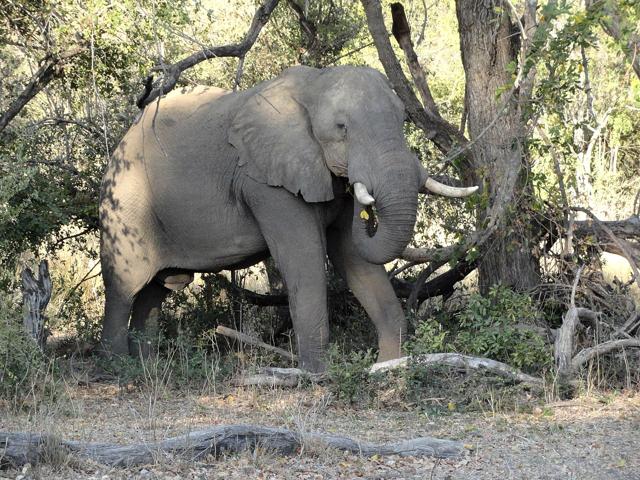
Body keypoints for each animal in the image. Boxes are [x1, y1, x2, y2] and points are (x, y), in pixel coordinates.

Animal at [100, 64, 476, 372]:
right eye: (342, 128)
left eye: (402, 121)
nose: (364, 200)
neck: (313, 86)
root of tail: (120, 143)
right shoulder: (266, 182)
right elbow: (305, 258)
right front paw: (318, 375)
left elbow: (353, 258)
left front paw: (390, 366)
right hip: (124, 205)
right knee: (125, 287)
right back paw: (118, 371)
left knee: (156, 290)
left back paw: (147, 368)